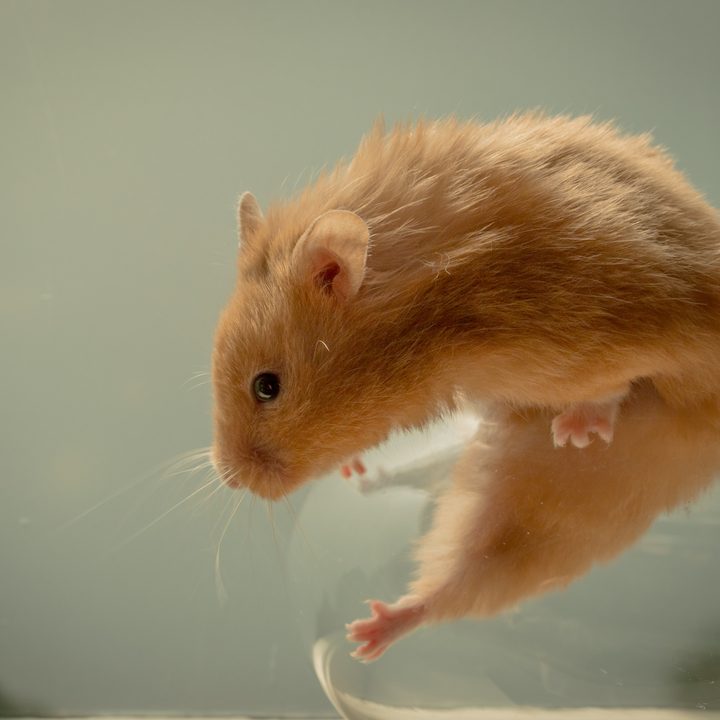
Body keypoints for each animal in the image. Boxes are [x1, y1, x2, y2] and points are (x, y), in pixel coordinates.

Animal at [211, 114, 720, 661]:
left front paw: (578, 430)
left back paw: (370, 633)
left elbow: (615, 384)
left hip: (569, 498)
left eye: (267, 387)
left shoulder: (599, 342)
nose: (230, 478)